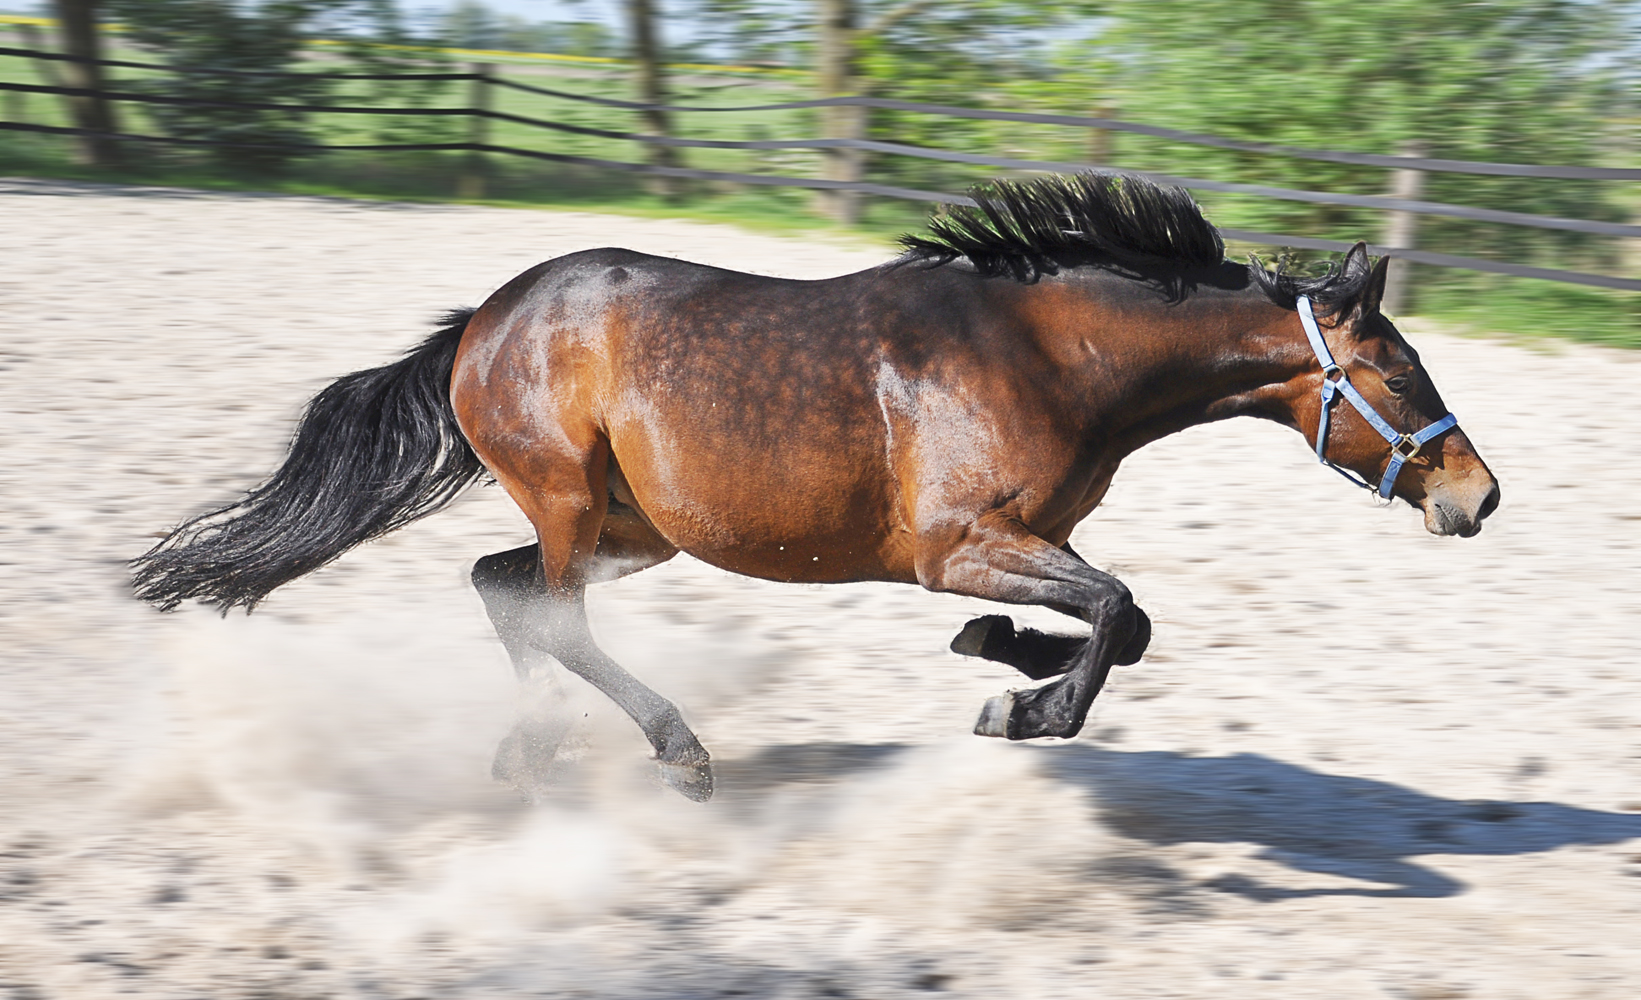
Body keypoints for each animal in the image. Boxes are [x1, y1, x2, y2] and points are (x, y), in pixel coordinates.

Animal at [137, 175, 1503, 804]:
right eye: (1399, 368)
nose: (1478, 497)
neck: (1050, 356)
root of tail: (484, 319)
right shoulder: (955, 543)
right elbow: (1117, 613)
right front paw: (1018, 703)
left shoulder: (1027, 539)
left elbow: (1124, 617)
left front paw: (1000, 653)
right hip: (572, 502)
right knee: (549, 611)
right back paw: (674, 755)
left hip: (639, 526)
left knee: (502, 586)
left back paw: (534, 749)